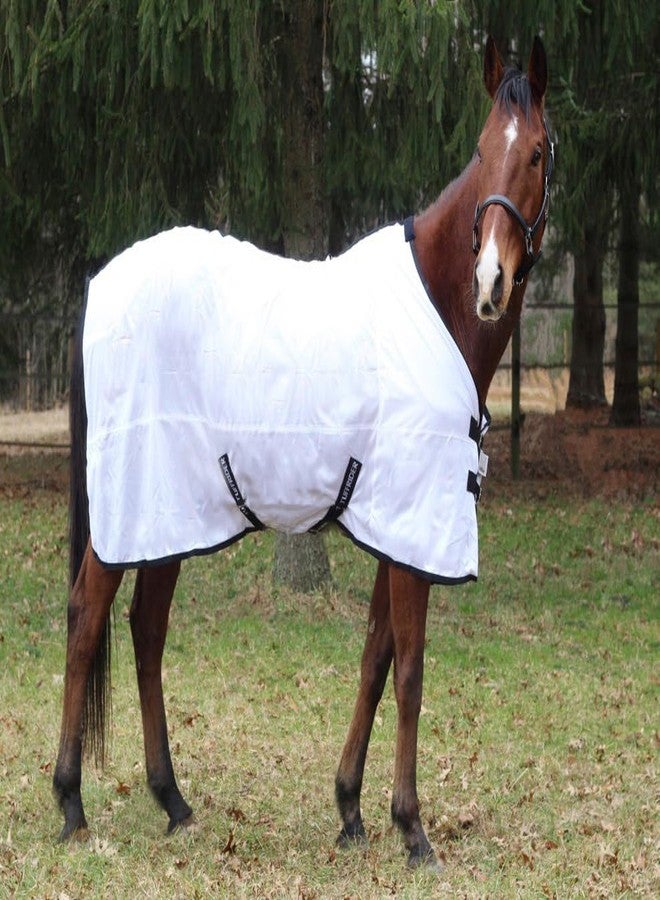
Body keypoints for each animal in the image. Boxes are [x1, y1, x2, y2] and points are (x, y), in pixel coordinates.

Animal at [54, 36, 553, 872]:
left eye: (538, 153)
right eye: (483, 152)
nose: (490, 279)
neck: (438, 304)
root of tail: (100, 286)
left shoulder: (396, 521)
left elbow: (376, 657)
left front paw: (351, 810)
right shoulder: (415, 517)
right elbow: (412, 669)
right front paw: (413, 829)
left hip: (170, 511)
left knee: (146, 629)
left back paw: (173, 801)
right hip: (126, 507)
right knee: (89, 615)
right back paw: (70, 804)